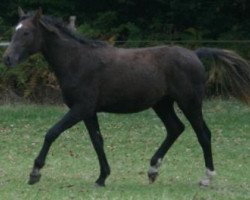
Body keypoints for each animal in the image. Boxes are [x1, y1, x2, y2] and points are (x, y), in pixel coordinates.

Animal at [3, 7, 250, 186]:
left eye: (26, 32)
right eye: (14, 31)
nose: (7, 59)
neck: (77, 60)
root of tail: (195, 54)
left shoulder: (80, 108)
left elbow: (51, 133)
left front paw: (35, 173)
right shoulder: (89, 111)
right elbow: (97, 141)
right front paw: (102, 178)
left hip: (190, 102)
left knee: (203, 134)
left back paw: (207, 178)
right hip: (162, 104)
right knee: (175, 128)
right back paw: (152, 170)